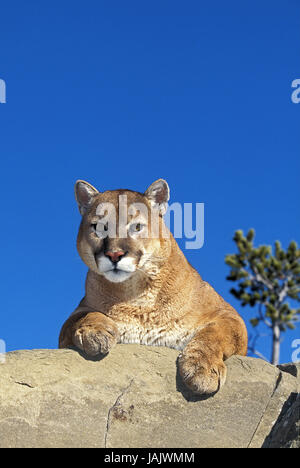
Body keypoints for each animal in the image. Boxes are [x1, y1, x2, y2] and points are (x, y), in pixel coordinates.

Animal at [59, 179, 248, 394]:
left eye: (136, 227)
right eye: (99, 227)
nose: (115, 255)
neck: (136, 293)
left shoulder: (227, 314)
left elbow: (213, 335)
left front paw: (202, 368)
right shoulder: (75, 316)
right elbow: (82, 317)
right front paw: (94, 333)